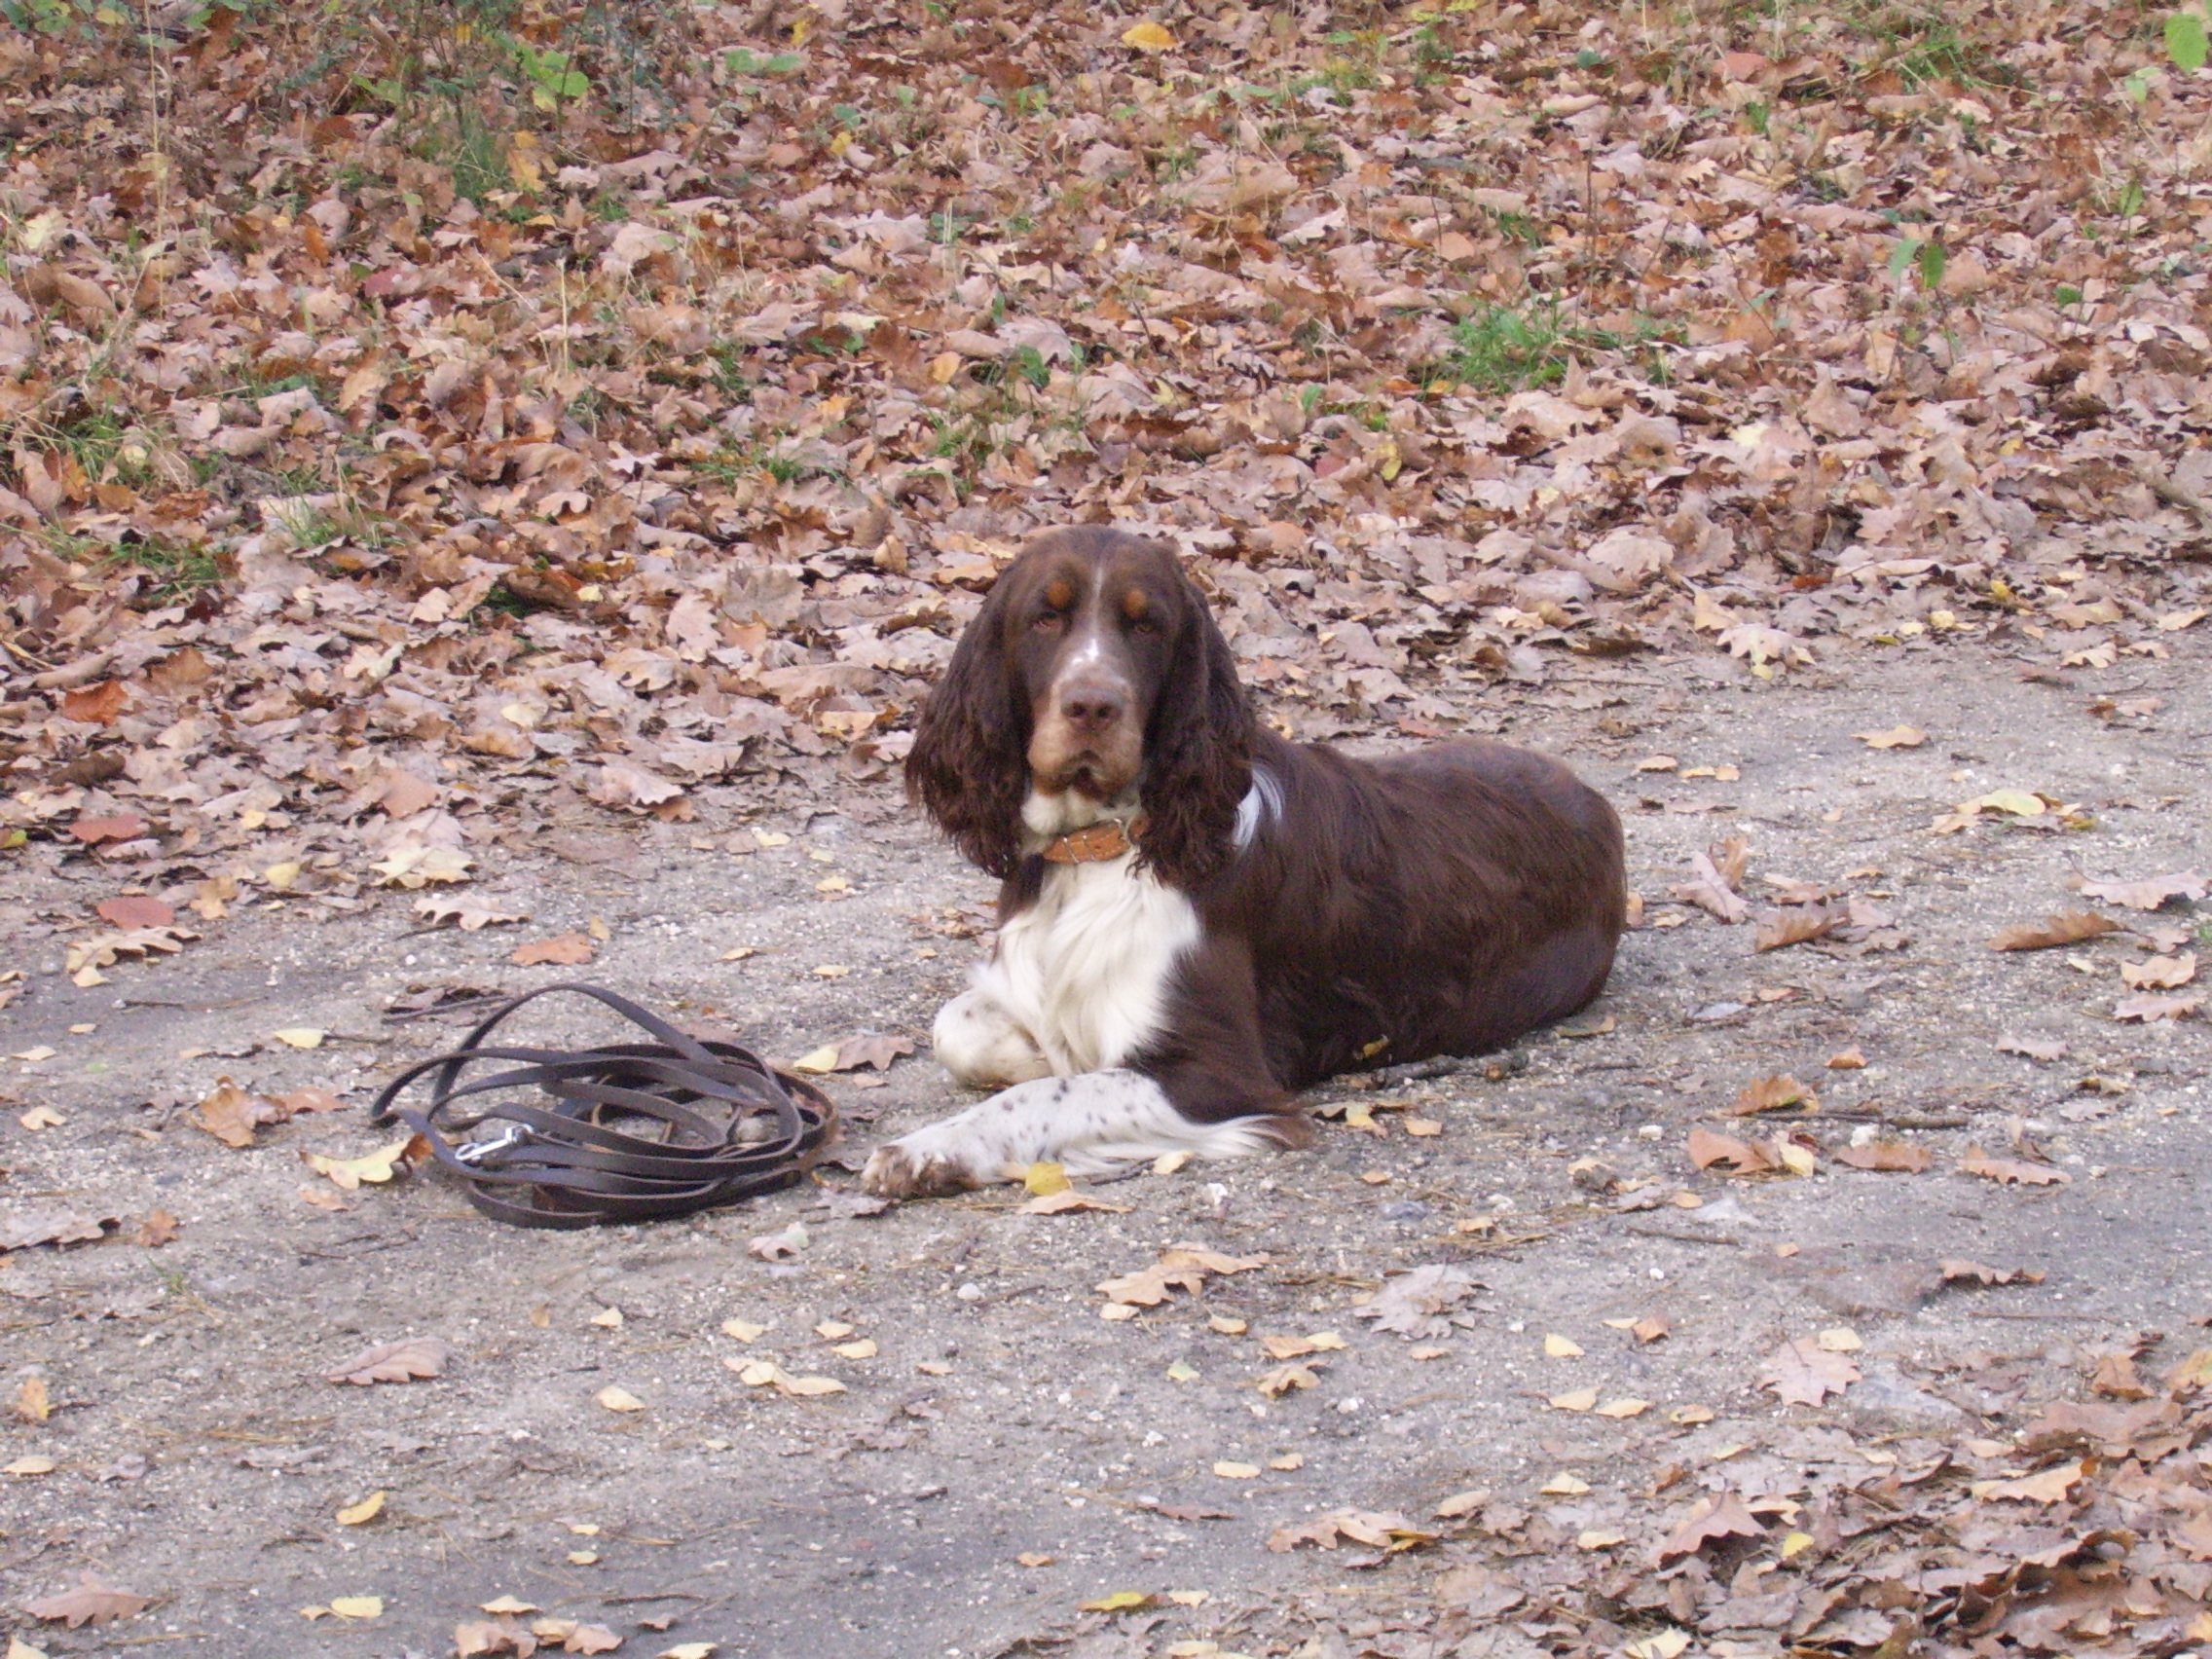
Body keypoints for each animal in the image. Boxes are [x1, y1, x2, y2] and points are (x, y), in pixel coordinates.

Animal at [863, 529, 1628, 1194]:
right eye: (1044, 618)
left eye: (1148, 626)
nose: (1092, 706)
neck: (1097, 847)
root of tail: (1597, 802)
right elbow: (961, 1030)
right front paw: (1036, 1054)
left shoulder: (1219, 1074)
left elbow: (1050, 1095)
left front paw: (930, 1149)